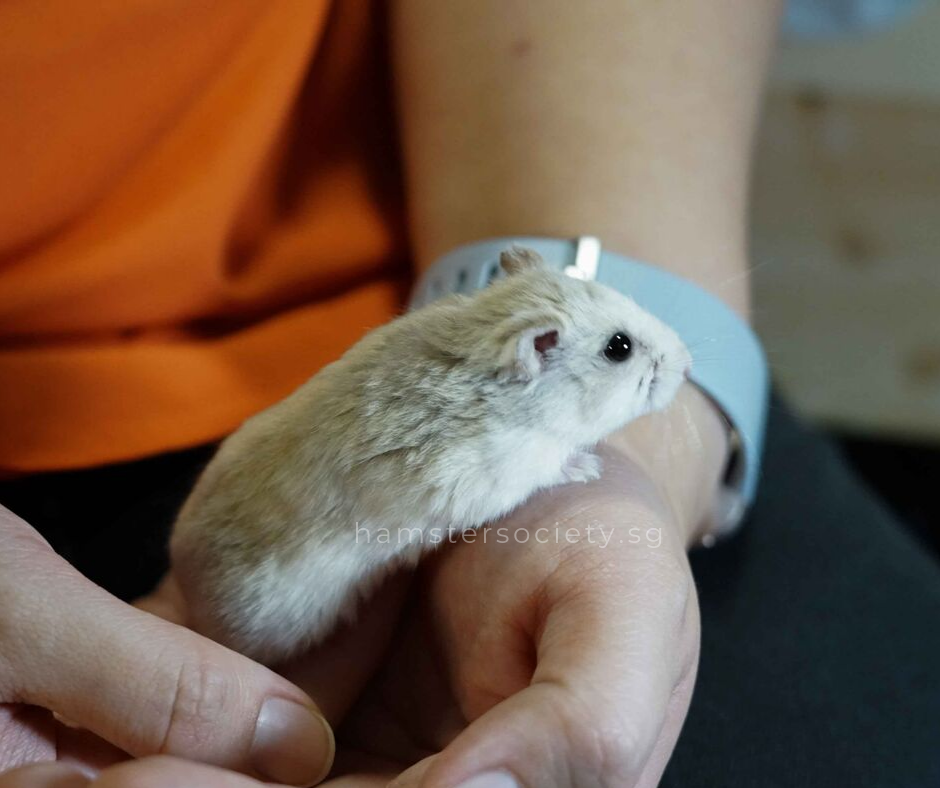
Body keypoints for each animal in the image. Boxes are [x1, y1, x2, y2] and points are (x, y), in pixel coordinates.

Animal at [169, 247, 691, 663]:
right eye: (619, 347)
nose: (688, 363)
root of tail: (187, 590)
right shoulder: (499, 473)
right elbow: (551, 467)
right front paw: (587, 466)